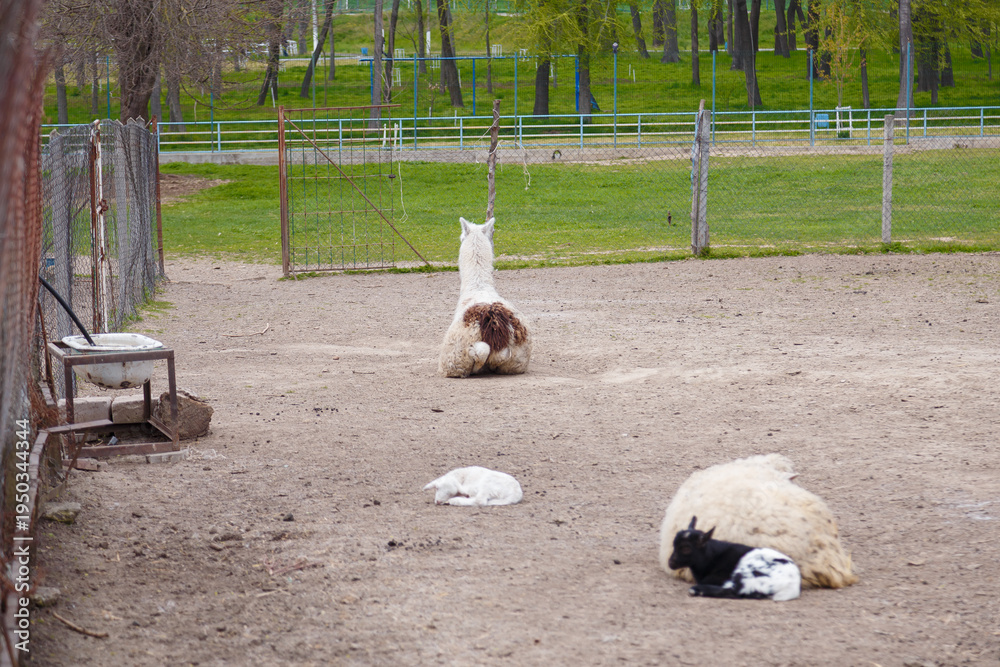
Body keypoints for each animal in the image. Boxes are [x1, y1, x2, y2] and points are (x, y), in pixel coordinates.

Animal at [439, 217, 532, 378]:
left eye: (461, 237)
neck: (478, 287)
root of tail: (494, 319)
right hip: (517, 360)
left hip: (452, 359)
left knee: (481, 351)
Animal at [667, 516, 802, 601]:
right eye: (674, 543)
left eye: (686, 548)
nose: (671, 563)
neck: (712, 556)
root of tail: (792, 585)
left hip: (747, 574)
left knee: (732, 591)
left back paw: (696, 590)